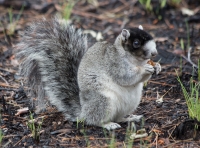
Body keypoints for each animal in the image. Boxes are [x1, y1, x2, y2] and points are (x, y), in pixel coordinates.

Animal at [16, 16, 162, 130]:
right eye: (136, 43)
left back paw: (129, 118)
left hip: (131, 103)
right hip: (102, 101)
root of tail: (83, 112)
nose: (154, 53)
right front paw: (145, 69)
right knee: (95, 121)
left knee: (118, 117)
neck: (136, 61)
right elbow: (125, 77)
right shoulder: (114, 63)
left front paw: (157, 66)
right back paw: (108, 124)